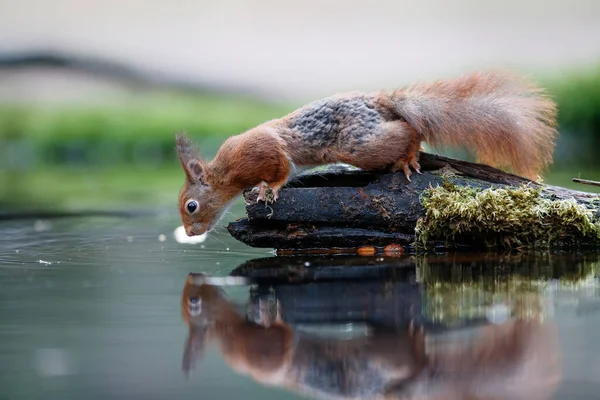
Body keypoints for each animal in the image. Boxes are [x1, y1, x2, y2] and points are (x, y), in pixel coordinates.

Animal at [175, 71, 556, 238]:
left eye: (191, 206)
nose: (192, 235)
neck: (226, 171)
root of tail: (379, 102)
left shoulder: (263, 150)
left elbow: (281, 167)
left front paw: (270, 189)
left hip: (359, 143)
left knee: (408, 130)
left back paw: (408, 155)